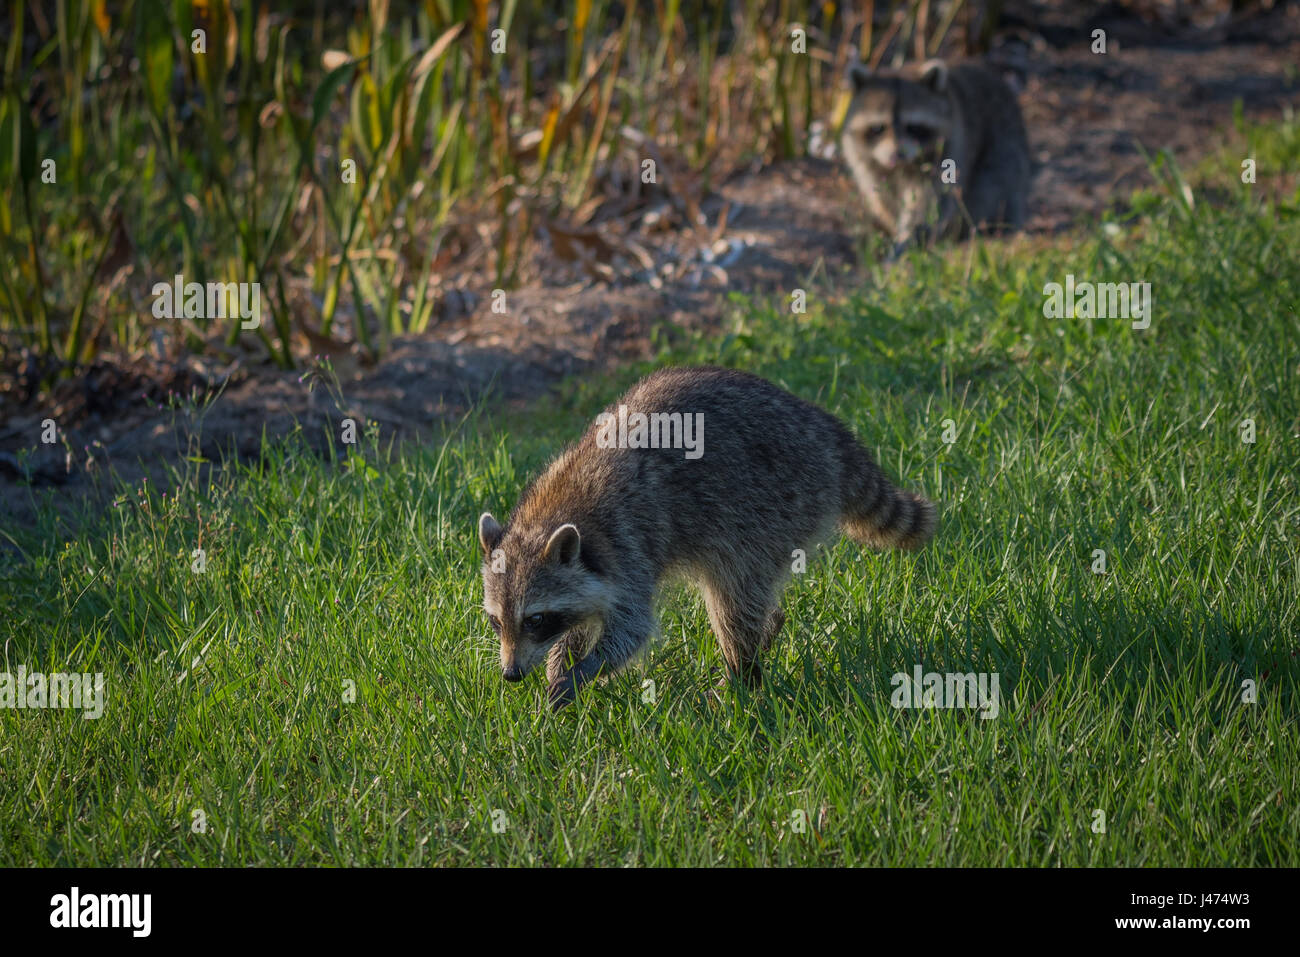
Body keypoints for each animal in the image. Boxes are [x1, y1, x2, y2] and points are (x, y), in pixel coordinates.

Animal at [477, 366, 936, 711]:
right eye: (496, 620)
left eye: (535, 619)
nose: (511, 674)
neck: (552, 514)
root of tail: (827, 432)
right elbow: (586, 621)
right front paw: (562, 664)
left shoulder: (628, 544)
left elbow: (632, 629)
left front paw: (579, 673)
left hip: (774, 505)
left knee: (734, 598)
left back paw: (740, 673)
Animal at [840, 58, 1030, 251]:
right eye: (878, 128)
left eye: (913, 127)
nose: (898, 154)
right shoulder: (863, 158)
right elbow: (880, 194)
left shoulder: (951, 148)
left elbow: (931, 201)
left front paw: (910, 237)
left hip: (1004, 145)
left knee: (994, 186)